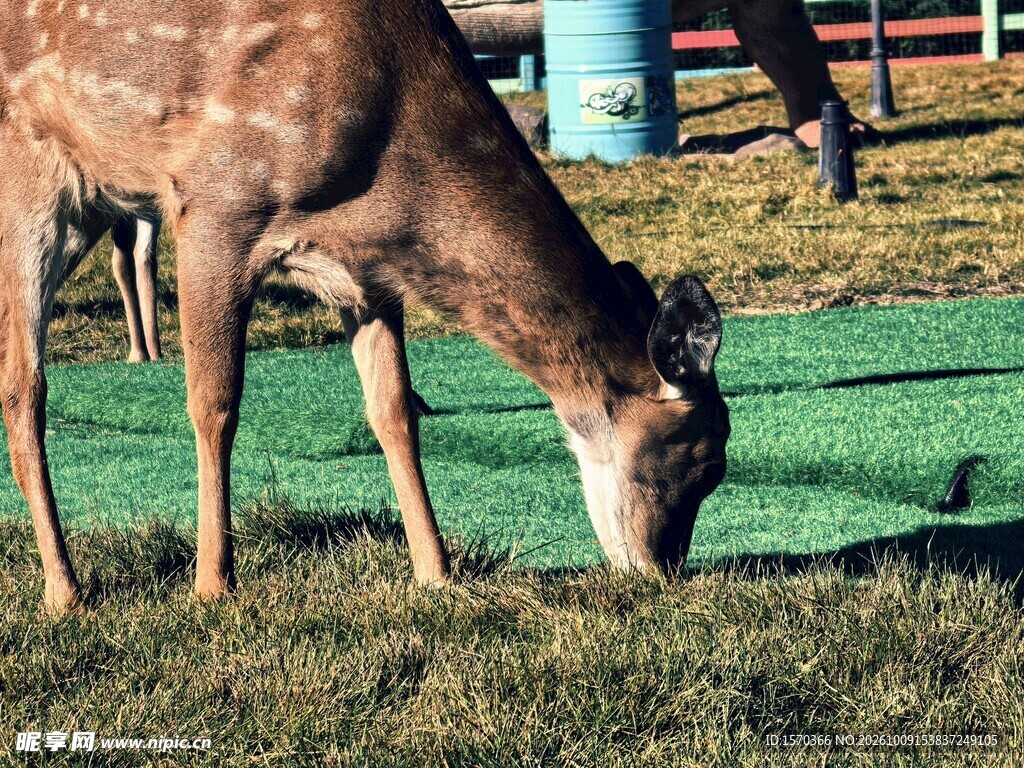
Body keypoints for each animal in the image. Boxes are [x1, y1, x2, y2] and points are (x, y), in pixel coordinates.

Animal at [0, 0, 729, 613]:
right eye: (704, 463)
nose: (663, 572)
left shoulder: (366, 275)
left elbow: (394, 412)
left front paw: (436, 572)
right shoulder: (215, 200)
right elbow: (215, 404)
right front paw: (212, 586)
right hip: (31, 185)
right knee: (24, 384)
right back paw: (64, 591)